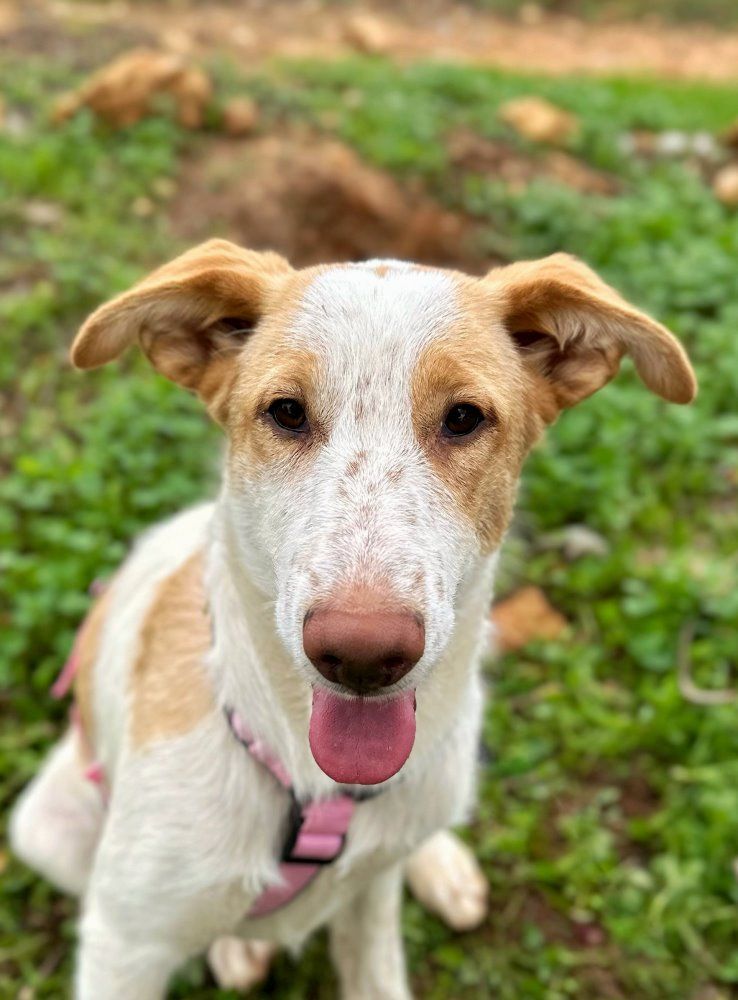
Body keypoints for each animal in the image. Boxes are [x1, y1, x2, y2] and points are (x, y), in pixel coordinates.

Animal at [10, 241, 696, 999]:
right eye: (285, 412)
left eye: (464, 418)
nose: (363, 653)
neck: (317, 793)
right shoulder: (124, 943)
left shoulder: (370, 900)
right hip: (48, 827)